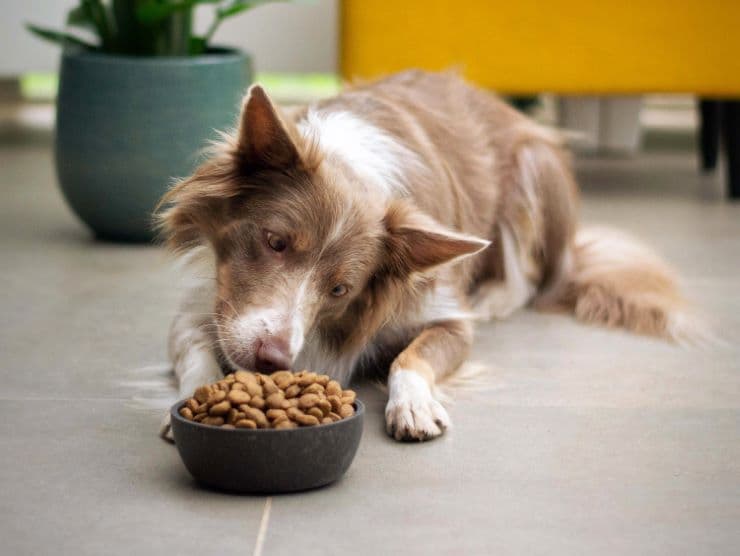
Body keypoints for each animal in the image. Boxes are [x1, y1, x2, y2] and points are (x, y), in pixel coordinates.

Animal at [156, 70, 692, 444]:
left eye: (339, 289)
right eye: (275, 241)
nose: (273, 360)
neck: (353, 168)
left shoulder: (447, 314)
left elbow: (409, 358)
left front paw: (412, 404)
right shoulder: (207, 303)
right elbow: (196, 349)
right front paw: (193, 399)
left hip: (534, 168)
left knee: (533, 279)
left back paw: (495, 297)